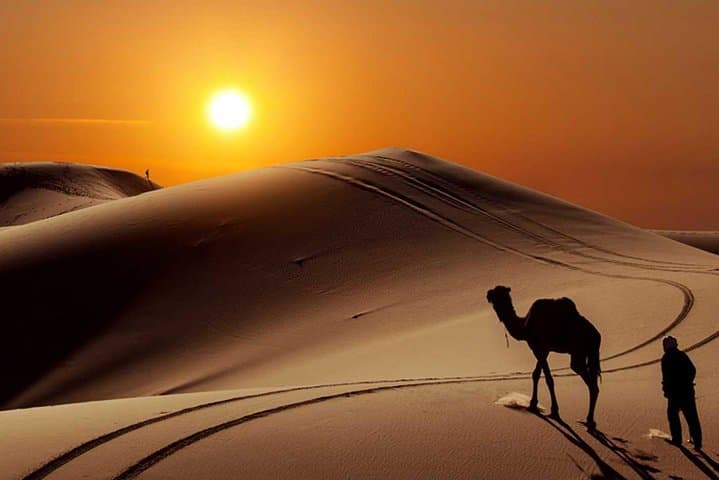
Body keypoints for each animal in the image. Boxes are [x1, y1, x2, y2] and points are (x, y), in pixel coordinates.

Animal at [486, 285, 602, 429]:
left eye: (496, 294)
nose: (488, 294)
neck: (525, 326)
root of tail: (597, 336)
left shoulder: (539, 348)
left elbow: (548, 379)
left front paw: (554, 411)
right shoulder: (543, 350)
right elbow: (535, 374)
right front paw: (532, 404)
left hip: (578, 353)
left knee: (590, 382)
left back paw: (589, 420)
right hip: (590, 354)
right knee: (594, 380)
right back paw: (591, 420)